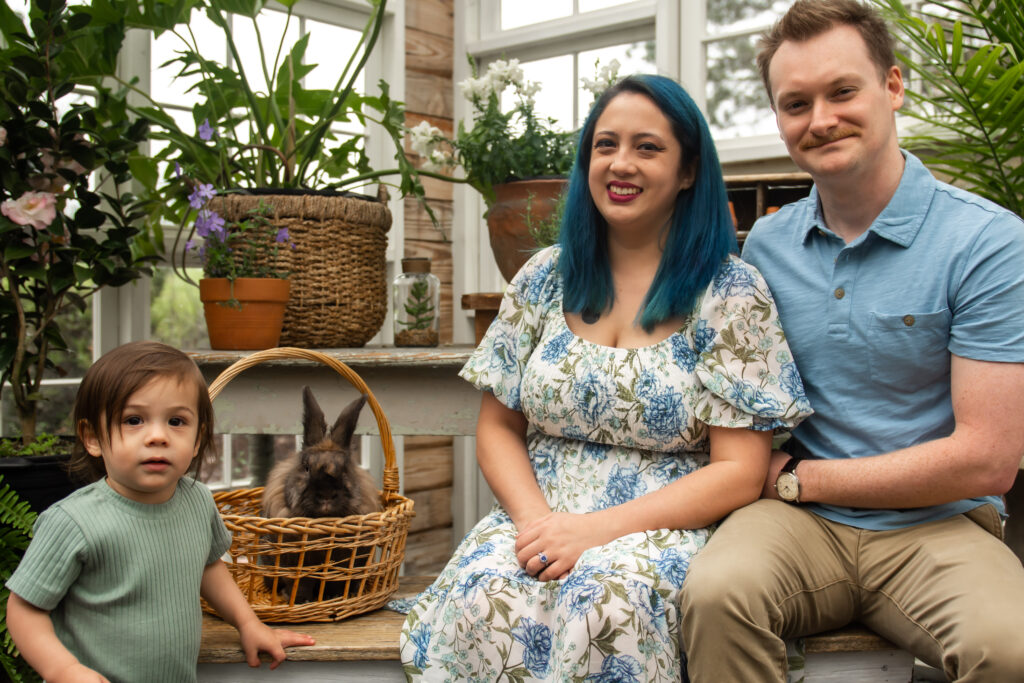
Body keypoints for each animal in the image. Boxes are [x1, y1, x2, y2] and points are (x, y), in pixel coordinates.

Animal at [262, 387, 382, 602]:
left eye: (345, 469)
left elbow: (341, 584)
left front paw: (341, 596)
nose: (326, 495)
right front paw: (299, 601)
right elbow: (299, 585)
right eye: (306, 467)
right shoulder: (295, 567)